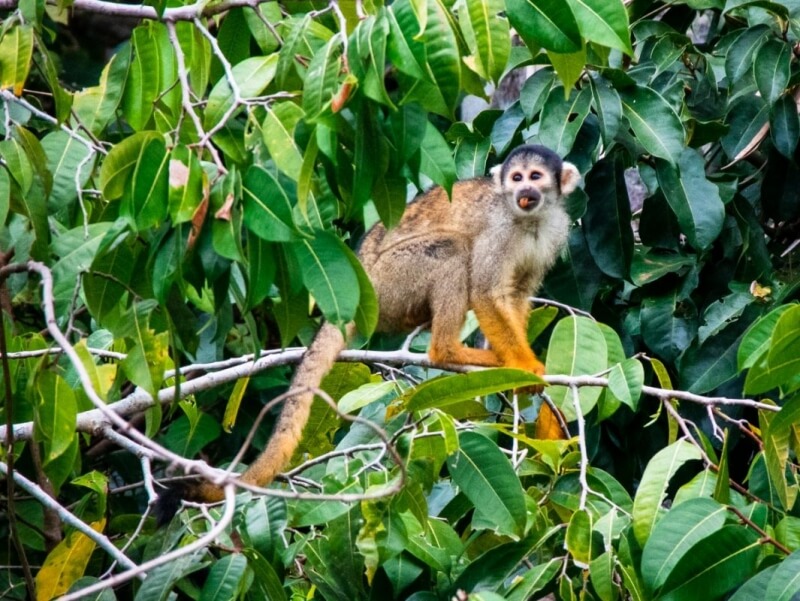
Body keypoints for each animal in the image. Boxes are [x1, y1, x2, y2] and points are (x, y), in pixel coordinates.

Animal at [155, 145, 580, 520]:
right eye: (516, 177)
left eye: (535, 177)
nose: (523, 192)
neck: (528, 220)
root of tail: (359, 287)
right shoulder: (499, 229)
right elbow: (486, 292)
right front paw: (524, 367)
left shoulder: (556, 230)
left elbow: (516, 294)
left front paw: (522, 377)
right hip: (391, 282)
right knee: (453, 247)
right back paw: (448, 351)